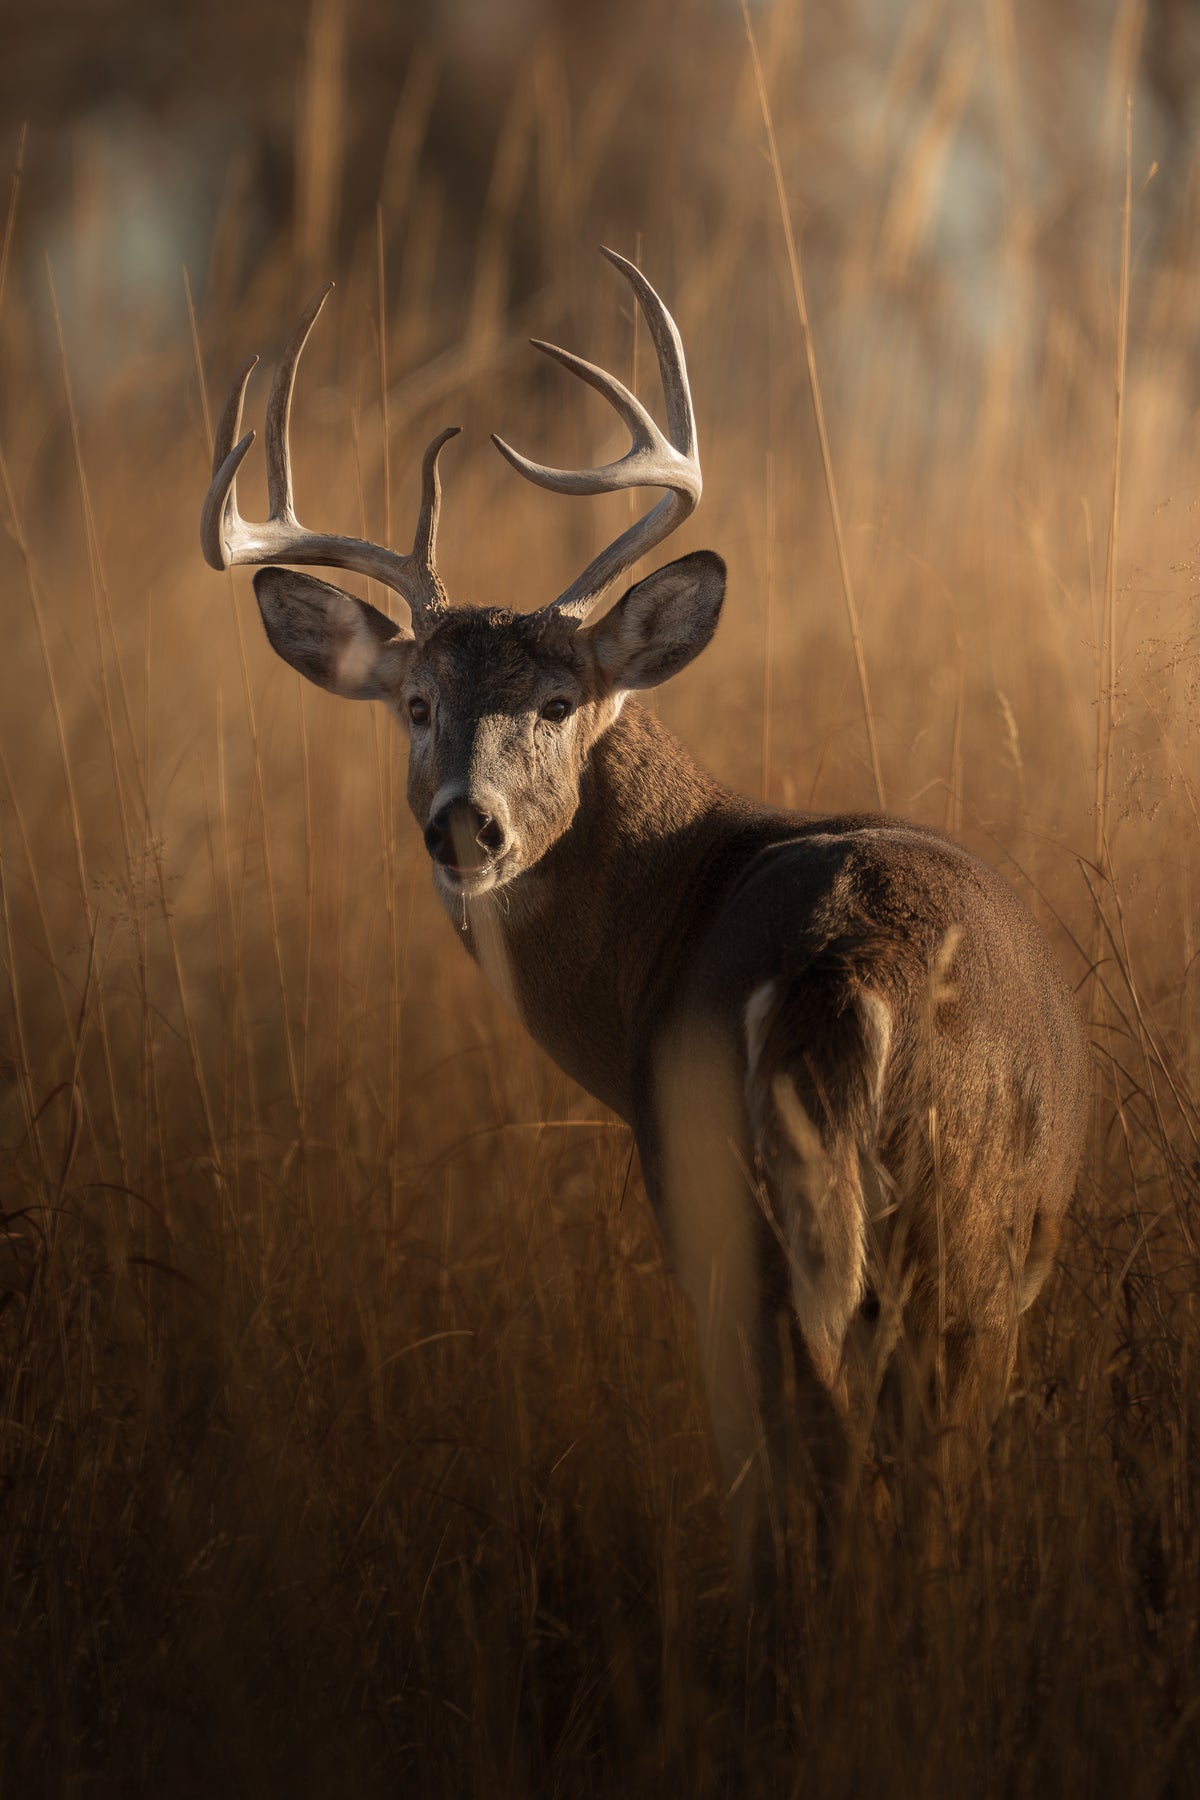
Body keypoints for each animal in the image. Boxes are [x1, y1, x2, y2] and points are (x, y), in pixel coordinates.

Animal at [200, 249, 1090, 1586]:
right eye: (415, 703)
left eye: (559, 701)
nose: (467, 827)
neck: (670, 913)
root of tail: (852, 968)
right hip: (910, 1245)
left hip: (813, 1231)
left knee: (840, 1479)